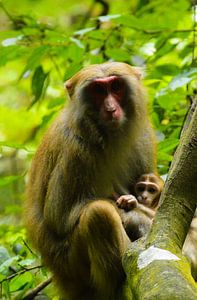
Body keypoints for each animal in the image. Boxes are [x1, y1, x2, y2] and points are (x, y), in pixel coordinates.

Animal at [25, 61, 158, 300]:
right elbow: (59, 218)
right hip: (73, 264)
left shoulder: (143, 136)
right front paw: (132, 211)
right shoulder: (76, 150)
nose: (111, 109)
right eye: (98, 90)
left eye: (115, 86)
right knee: (98, 214)